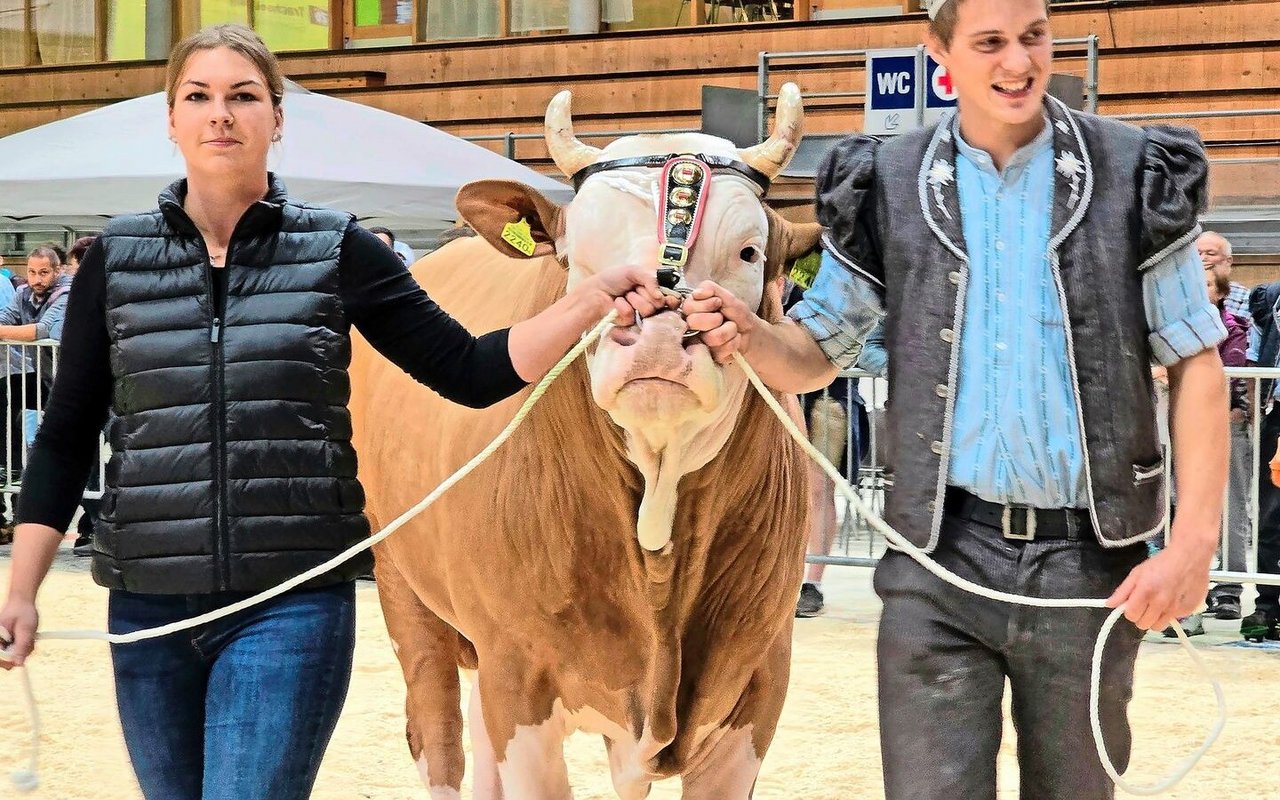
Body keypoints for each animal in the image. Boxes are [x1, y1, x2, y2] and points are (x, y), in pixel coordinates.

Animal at [348, 84, 819, 793]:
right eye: (580, 259)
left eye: (749, 252)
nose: (657, 334)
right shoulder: (518, 673)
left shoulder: (761, 680)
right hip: (401, 581)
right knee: (438, 738)